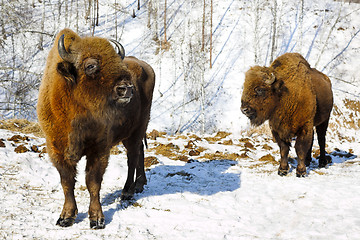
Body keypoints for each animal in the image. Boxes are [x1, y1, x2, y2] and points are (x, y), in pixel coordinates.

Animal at [36, 29, 155, 230]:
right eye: (90, 65)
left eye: (116, 61)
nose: (126, 89)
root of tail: (145, 66)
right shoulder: (56, 150)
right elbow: (67, 182)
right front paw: (66, 217)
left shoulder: (99, 148)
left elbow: (92, 182)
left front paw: (97, 219)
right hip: (132, 132)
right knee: (139, 152)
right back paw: (139, 185)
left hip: (139, 128)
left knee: (132, 157)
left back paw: (127, 192)